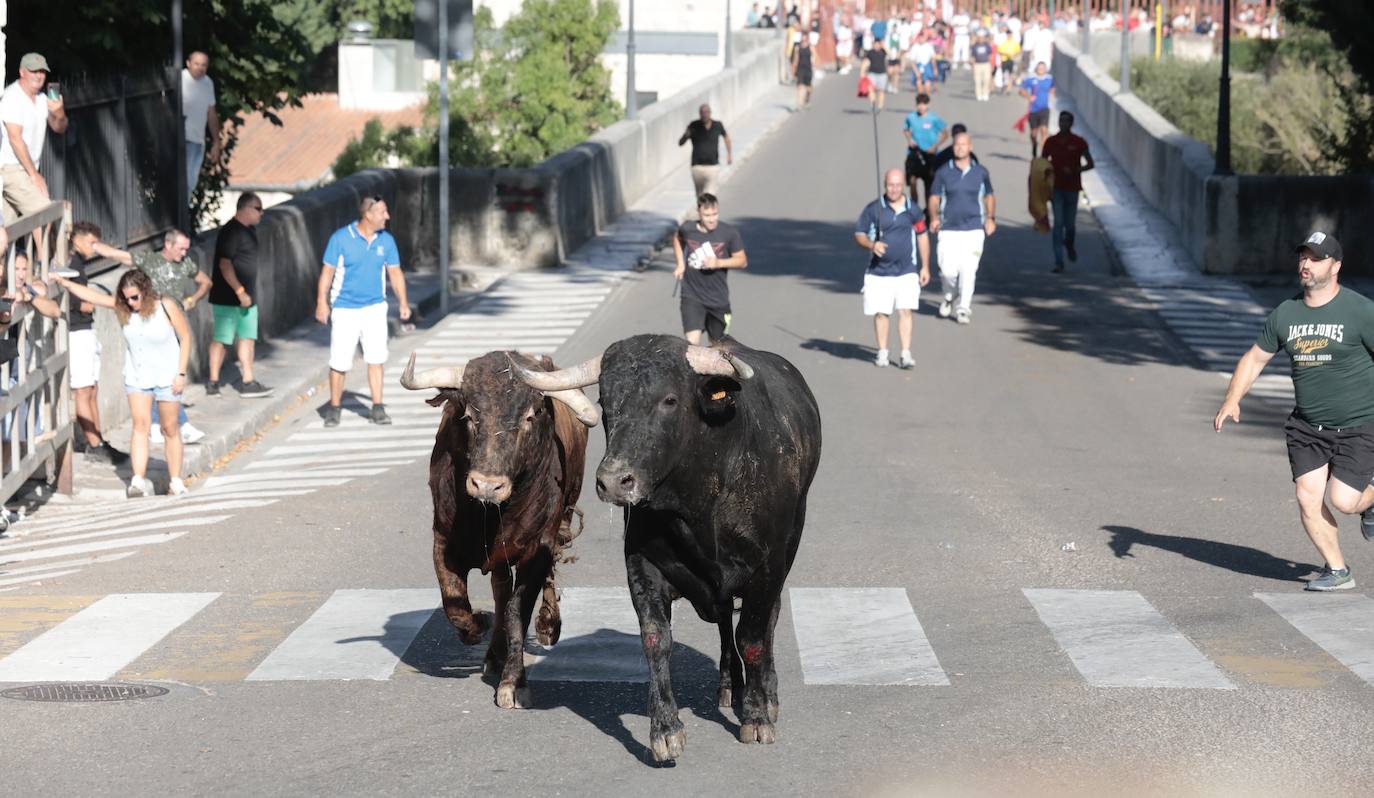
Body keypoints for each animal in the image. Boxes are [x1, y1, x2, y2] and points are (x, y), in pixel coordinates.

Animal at [395, 348, 593, 703]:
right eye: (470, 417)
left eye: (529, 417)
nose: (487, 485)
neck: (487, 516)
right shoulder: (442, 542)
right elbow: (454, 603)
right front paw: (479, 625)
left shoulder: (536, 550)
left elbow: (518, 611)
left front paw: (513, 682)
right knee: (500, 588)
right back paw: (494, 653)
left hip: (565, 515)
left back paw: (548, 626)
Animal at [513, 332, 813, 763]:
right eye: (605, 399)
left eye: (669, 399)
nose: (614, 481)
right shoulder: (642, 566)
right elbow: (656, 640)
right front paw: (666, 730)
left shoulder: (766, 570)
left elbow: (754, 638)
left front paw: (757, 718)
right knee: (725, 622)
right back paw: (729, 686)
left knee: (763, 625)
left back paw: (765, 694)